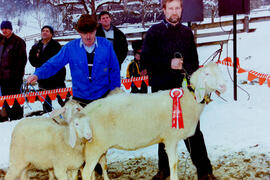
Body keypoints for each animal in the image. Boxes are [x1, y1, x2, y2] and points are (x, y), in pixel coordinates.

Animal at [72, 62, 226, 180]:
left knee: (93, 169)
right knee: (86, 172)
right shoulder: (170, 138)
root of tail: (84, 111)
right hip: (94, 146)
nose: (223, 86)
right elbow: (174, 163)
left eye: (220, 72)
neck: (188, 100)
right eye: (207, 74)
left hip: (96, 147)